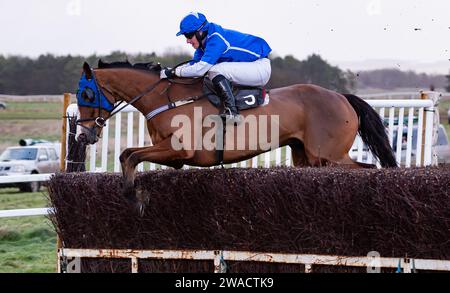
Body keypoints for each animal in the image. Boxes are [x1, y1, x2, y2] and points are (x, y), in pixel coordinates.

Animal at [75, 59, 396, 204]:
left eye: (87, 95)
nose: (83, 136)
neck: (165, 98)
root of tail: (342, 97)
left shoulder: (181, 150)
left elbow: (129, 155)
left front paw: (133, 195)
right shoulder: (173, 156)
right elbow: (127, 154)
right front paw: (130, 191)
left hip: (329, 156)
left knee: (368, 169)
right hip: (305, 158)